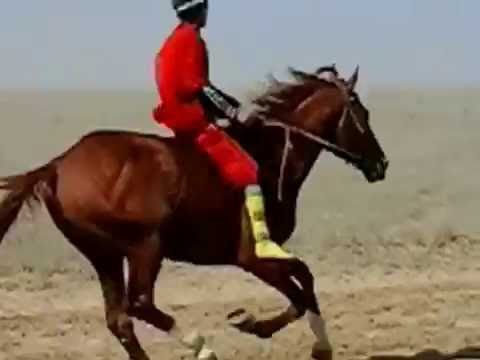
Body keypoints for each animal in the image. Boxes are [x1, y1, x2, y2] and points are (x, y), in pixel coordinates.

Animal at [0, 65, 388, 360]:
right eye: (363, 116)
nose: (381, 164)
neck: (272, 156)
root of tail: (57, 165)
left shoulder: (264, 254)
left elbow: (304, 285)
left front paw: (271, 329)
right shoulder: (252, 256)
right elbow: (301, 289)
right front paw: (263, 327)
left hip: (103, 254)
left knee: (120, 320)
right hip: (145, 246)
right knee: (139, 303)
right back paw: (202, 347)